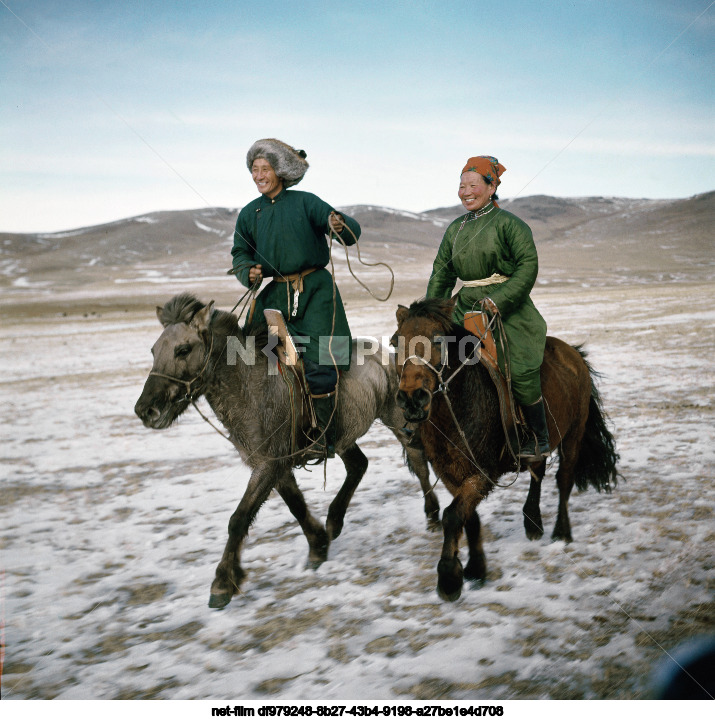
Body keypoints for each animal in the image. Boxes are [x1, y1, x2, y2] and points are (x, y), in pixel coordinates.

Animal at [131, 292, 440, 608]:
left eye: (183, 349)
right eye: (154, 351)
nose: (146, 410)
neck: (249, 386)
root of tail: (388, 357)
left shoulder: (269, 464)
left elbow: (238, 519)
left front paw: (222, 583)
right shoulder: (273, 464)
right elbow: (295, 505)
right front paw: (318, 546)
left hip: (398, 420)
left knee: (417, 462)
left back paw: (432, 515)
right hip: (342, 436)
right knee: (358, 465)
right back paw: (334, 521)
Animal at [394, 296, 620, 600]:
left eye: (438, 340)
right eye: (395, 342)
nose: (412, 399)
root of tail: (573, 353)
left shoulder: (483, 474)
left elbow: (452, 516)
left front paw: (449, 578)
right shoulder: (452, 474)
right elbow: (468, 517)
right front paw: (476, 568)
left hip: (573, 435)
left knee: (564, 480)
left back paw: (561, 532)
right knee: (538, 472)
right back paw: (533, 521)